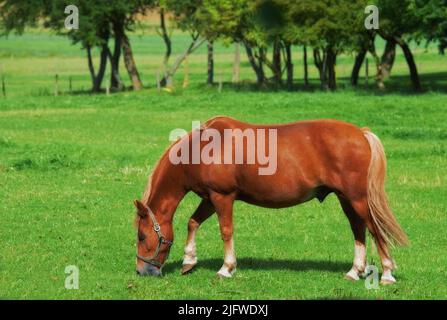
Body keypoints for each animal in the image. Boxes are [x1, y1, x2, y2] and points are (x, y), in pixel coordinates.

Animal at [134, 117, 410, 284]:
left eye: (142, 236)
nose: (142, 271)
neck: (204, 148)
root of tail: (361, 133)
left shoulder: (222, 197)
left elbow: (226, 231)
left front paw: (226, 268)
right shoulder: (210, 199)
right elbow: (192, 223)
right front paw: (189, 261)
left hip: (357, 199)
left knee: (375, 230)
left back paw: (387, 273)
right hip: (346, 199)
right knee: (358, 230)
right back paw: (354, 271)